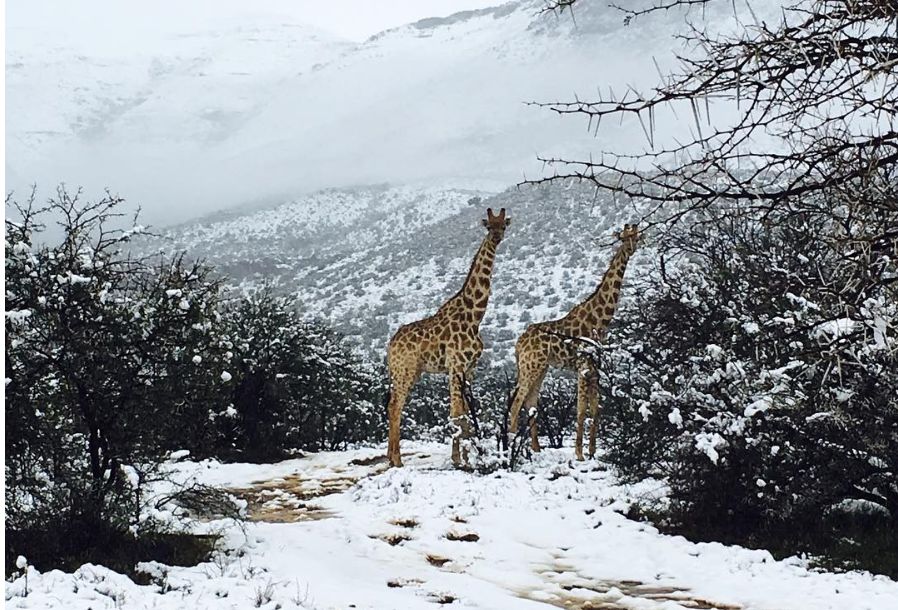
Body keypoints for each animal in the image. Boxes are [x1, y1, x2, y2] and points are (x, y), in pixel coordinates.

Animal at [384, 207, 512, 468]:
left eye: (503, 225)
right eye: (488, 226)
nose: (496, 238)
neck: (475, 316)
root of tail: (390, 345)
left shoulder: (470, 368)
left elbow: (465, 413)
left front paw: (468, 458)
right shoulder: (456, 365)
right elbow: (456, 413)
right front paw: (458, 460)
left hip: (411, 372)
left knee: (394, 405)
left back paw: (391, 458)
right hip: (405, 370)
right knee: (395, 406)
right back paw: (397, 460)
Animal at [508, 224, 640, 460]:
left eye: (637, 234)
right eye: (624, 237)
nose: (631, 248)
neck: (600, 320)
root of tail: (518, 344)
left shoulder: (595, 368)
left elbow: (596, 409)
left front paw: (592, 451)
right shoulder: (583, 366)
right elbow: (580, 410)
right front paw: (579, 454)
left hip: (540, 368)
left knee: (530, 402)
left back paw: (535, 448)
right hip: (530, 366)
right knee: (517, 403)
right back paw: (513, 447)